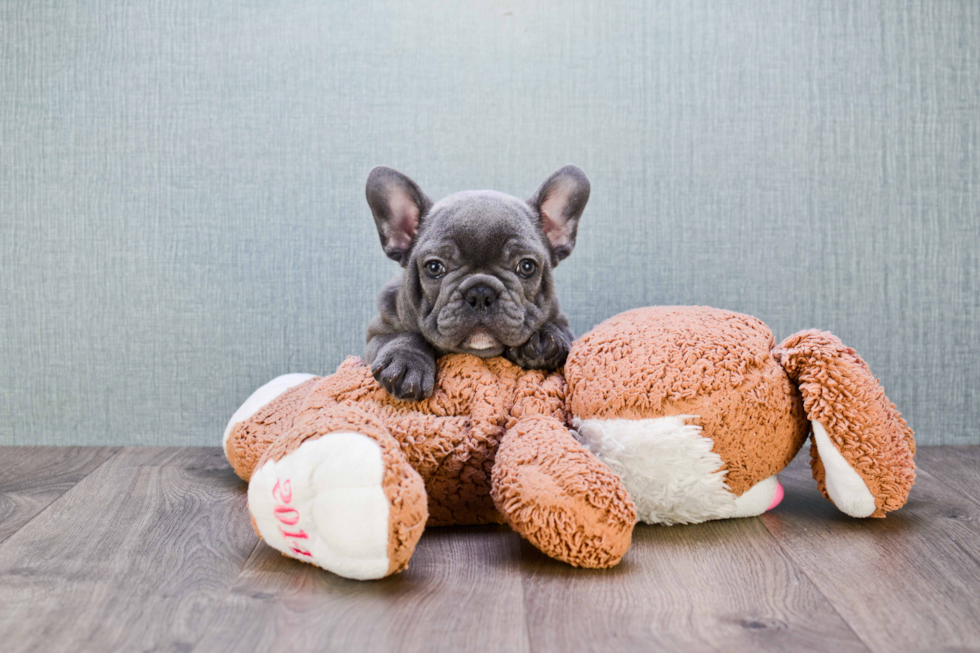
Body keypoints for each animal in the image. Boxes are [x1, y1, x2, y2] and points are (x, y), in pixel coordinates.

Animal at [362, 164, 584, 398]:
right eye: (434, 267)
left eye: (526, 267)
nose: (480, 293)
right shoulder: (378, 332)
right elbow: (403, 337)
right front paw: (407, 362)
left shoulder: (564, 324)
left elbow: (558, 328)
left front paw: (543, 337)